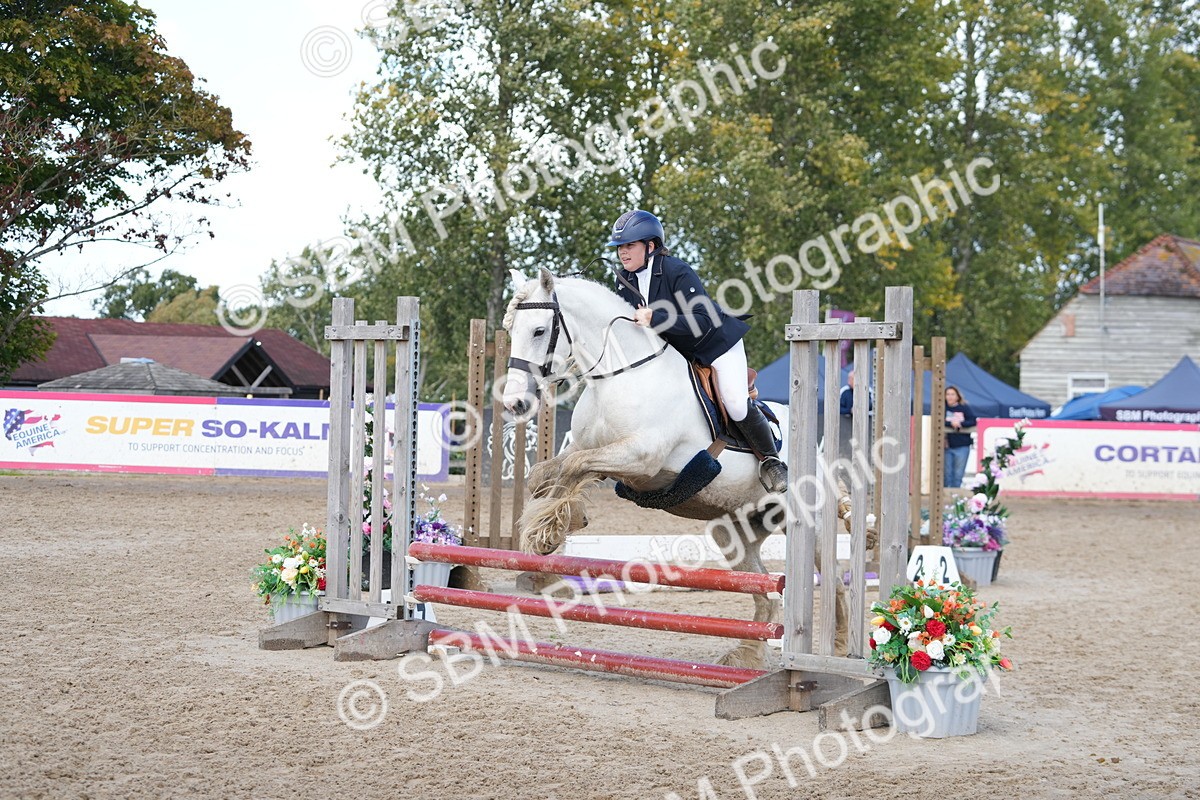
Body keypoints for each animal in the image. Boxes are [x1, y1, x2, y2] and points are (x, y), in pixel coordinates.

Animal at [500, 268, 852, 668]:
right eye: (511, 331)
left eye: (539, 331)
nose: (514, 403)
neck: (620, 374)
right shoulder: (595, 450)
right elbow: (545, 475)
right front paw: (558, 522)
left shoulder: (639, 457)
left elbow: (574, 468)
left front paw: (549, 529)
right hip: (734, 532)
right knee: (763, 590)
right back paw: (745, 654)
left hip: (810, 523)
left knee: (834, 580)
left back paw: (838, 649)